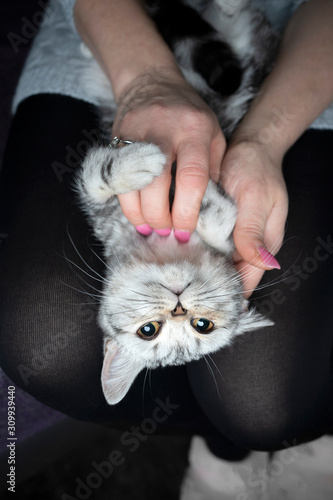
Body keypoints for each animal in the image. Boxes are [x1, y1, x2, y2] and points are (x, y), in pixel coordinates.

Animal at [76, 0, 276, 400]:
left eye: (202, 325)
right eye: (148, 330)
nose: (179, 307)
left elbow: (224, 220)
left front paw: (205, 201)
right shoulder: (99, 205)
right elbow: (97, 177)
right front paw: (145, 162)